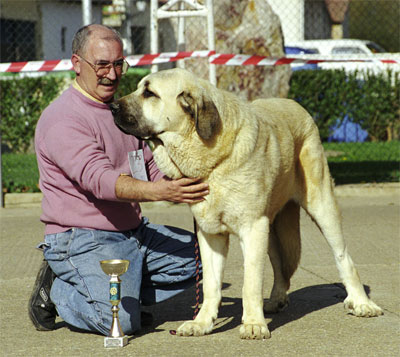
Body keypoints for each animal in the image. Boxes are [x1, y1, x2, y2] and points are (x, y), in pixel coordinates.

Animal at [109, 68, 382, 338]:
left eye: (149, 93)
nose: (112, 106)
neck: (212, 162)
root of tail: (295, 104)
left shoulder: (252, 227)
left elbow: (250, 281)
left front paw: (253, 324)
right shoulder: (211, 234)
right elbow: (211, 284)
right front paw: (202, 322)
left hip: (321, 207)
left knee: (343, 257)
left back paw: (361, 303)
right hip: (271, 226)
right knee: (280, 265)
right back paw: (277, 299)